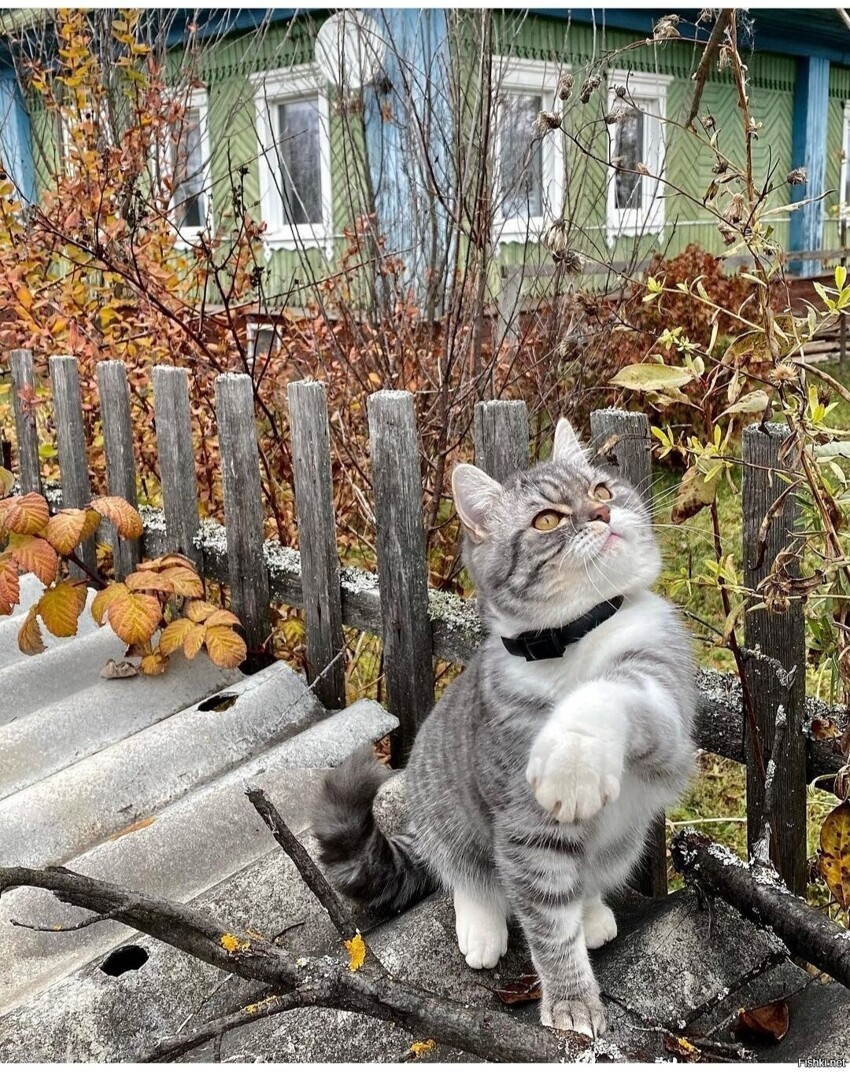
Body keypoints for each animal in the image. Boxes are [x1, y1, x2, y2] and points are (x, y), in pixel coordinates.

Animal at [313, 417, 696, 1038]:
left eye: (602, 489)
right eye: (546, 520)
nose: (603, 513)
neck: (572, 640)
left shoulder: (665, 702)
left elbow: (608, 694)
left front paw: (572, 762)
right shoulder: (523, 828)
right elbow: (547, 924)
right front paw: (571, 1002)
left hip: (625, 840)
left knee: (589, 880)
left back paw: (593, 911)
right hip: (435, 805)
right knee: (467, 874)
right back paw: (483, 925)